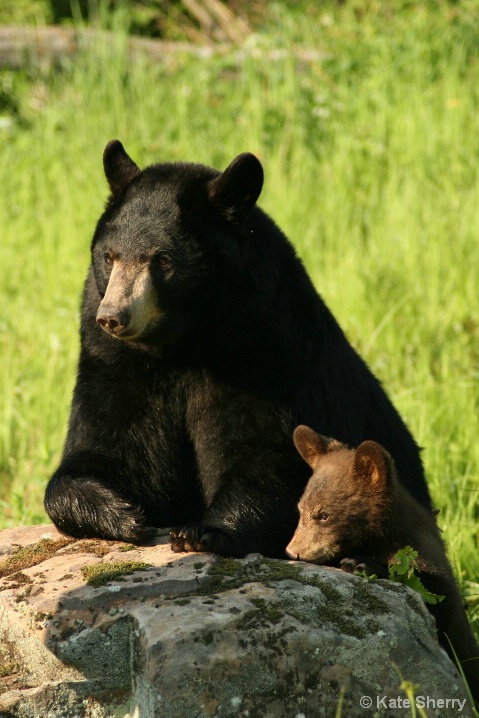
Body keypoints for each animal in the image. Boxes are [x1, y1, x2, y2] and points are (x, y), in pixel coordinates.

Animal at [46, 139, 432, 556]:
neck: (184, 341)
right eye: (109, 256)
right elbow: (112, 446)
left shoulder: (262, 349)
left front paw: (202, 530)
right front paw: (122, 512)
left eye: (162, 259)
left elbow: (265, 455)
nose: (114, 316)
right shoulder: (115, 359)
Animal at [286, 428, 478, 708]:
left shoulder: (421, 549)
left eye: (324, 515)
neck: (384, 533)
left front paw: (360, 563)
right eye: (300, 510)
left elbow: (438, 596)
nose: (293, 551)